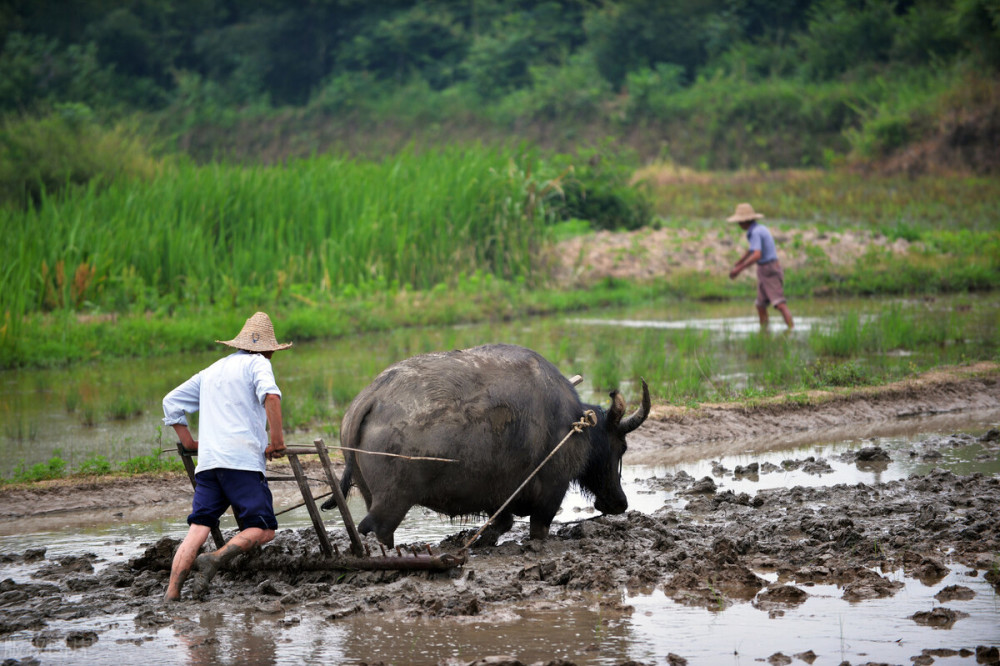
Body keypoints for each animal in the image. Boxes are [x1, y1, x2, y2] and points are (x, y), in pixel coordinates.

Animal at [318, 342, 648, 544]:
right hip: (392, 501)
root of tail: (370, 397)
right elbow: (536, 529)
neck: (571, 423)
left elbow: (500, 525)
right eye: (621, 446)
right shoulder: (550, 495)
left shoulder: (498, 499)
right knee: (374, 529)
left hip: (369, 492)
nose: (619, 503)